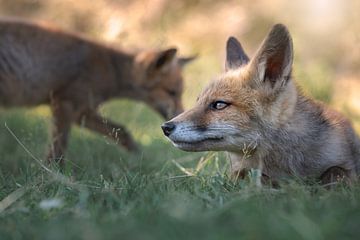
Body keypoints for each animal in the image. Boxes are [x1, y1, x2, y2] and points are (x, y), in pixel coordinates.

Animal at [0, 17, 194, 168]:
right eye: (171, 92)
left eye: (180, 93)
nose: (179, 115)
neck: (111, 70)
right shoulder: (65, 104)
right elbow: (58, 148)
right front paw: (54, 174)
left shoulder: (82, 112)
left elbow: (123, 133)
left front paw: (142, 160)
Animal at [162, 23, 360, 186]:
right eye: (198, 102)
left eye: (218, 105)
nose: (165, 127)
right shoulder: (239, 172)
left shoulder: (343, 163)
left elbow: (336, 171)